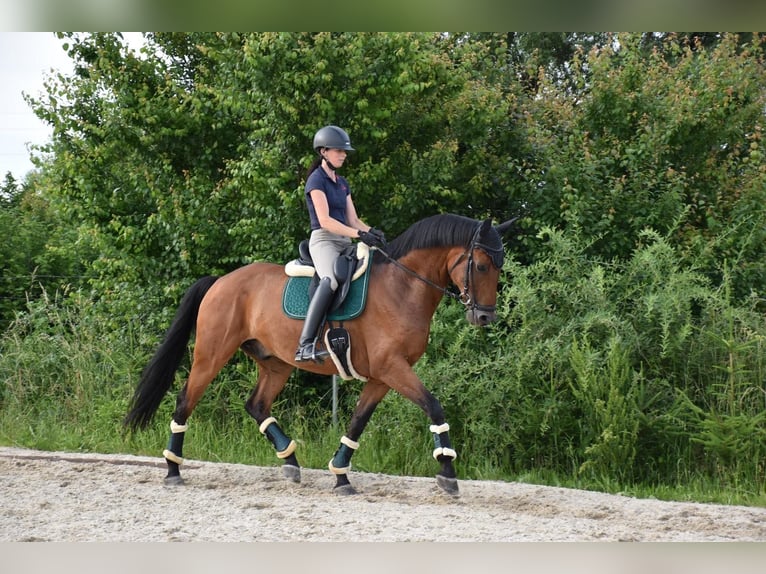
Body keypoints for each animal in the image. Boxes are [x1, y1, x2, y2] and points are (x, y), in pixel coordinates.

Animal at [126, 214, 520, 498]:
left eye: (499, 266)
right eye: (482, 266)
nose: (484, 318)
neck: (403, 288)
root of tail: (221, 280)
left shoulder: (382, 376)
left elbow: (357, 422)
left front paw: (341, 475)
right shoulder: (393, 368)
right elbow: (434, 407)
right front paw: (448, 472)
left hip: (276, 364)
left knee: (256, 405)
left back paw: (290, 462)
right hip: (212, 354)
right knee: (185, 400)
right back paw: (173, 469)